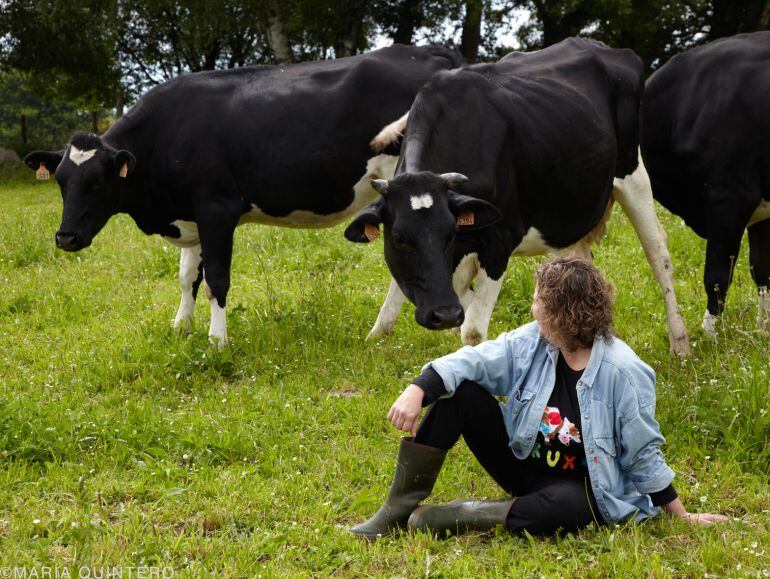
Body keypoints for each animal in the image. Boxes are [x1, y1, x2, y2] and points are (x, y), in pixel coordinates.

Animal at [24, 44, 460, 348]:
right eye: (61, 181)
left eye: (97, 182)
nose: (65, 237)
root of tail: (427, 50)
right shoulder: (191, 214)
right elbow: (187, 277)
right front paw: (181, 326)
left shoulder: (217, 210)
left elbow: (216, 279)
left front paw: (217, 341)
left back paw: (387, 329)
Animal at [344, 38, 688, 356]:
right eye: (399, 239)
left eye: (449, 233)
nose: (444, 314)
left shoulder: (500, 237)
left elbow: (472, 330)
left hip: (633, 174)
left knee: (659, 255)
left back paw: (680, 345)